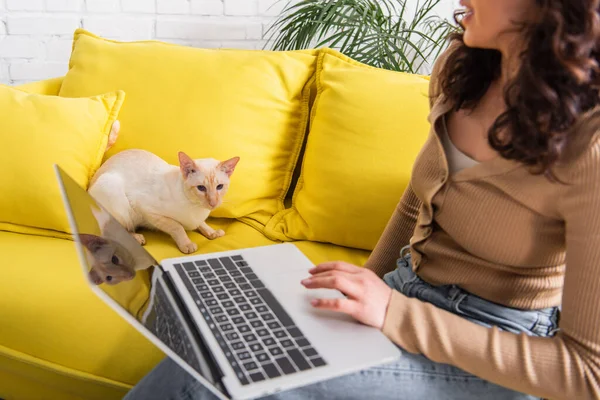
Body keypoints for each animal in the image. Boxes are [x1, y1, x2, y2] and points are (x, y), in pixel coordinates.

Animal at [89, 148, 239, 255]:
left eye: (220, 187)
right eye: (201, 188)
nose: (213, 203)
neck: (196, 208)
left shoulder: (197, 219)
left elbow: (201, 224)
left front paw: (212, 233)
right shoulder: (147, 210)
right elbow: (177, 227)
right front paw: (187, 244)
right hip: (114, 194)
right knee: (112, 230)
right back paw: (137, 237)